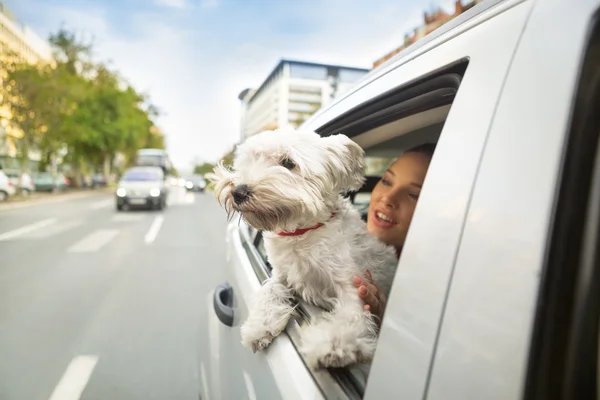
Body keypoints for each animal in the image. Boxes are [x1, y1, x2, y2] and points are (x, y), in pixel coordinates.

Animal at [209, 128, 400, 368]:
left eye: (288, 163)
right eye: (251, 159)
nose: (238, 191)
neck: (302, 234)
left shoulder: (353, 283)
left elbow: (350, 316)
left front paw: (333, 345)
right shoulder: (281, 274)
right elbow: (270, 290)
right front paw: (259, 326)